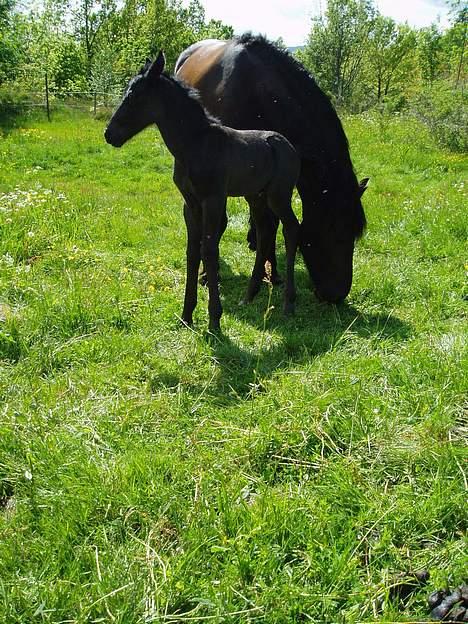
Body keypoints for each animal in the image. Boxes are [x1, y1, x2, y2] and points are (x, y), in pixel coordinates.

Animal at [176, 33, 370, 304]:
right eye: (335, 231)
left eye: (355, 233)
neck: (258, 93)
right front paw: (206, 275)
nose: (337, 294)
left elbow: (272, 224)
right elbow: (219, 223)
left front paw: (273, 273)